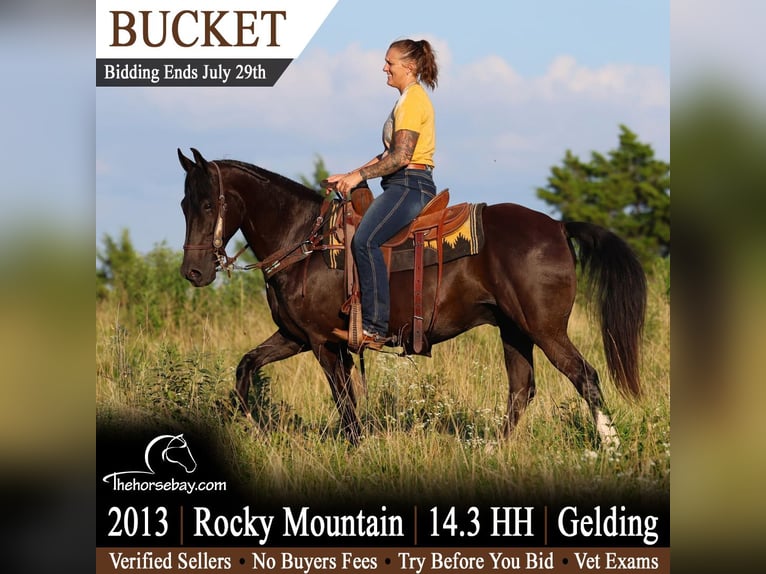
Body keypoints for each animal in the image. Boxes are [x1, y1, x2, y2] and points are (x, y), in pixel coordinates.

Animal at [177, 148, 646, 449]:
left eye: (208, 204)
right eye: (184, 204)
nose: (194, 273)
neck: (305, 244)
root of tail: (558, 226)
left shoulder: (323, 343)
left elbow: (345, 404)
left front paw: (357, 450)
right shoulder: (295, 337)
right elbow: (245, 368)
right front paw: (255, 427)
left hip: (544, 328)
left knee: (584, 375)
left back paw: (610, 447)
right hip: (514, 330)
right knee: (521, 389)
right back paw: (494, 449)